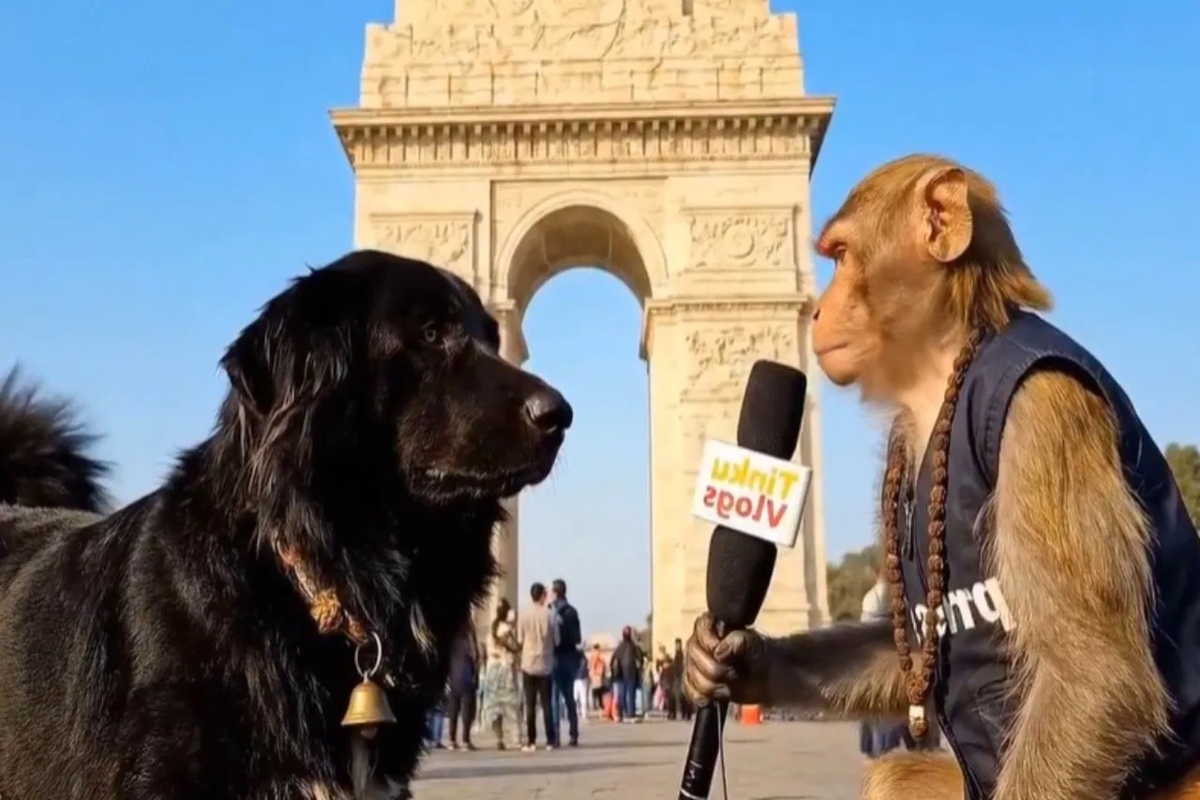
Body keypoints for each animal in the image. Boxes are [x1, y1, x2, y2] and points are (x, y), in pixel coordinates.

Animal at [683, 154, 1200, 800]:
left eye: (842, 256)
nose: (821, 307)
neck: (944, 364)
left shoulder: (1041, 417)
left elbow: (1095, 675)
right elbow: (898, 641)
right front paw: (735, 661)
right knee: (895, 775)